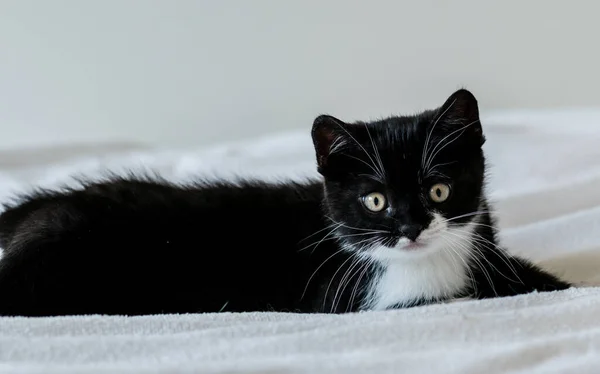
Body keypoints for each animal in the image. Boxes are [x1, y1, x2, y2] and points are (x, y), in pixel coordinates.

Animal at [0, 88, 568, 316]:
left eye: (439, 191)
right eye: (375, 200)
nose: (411, 228)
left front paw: (559, 286)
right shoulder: (343, 295)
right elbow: (447, 297)